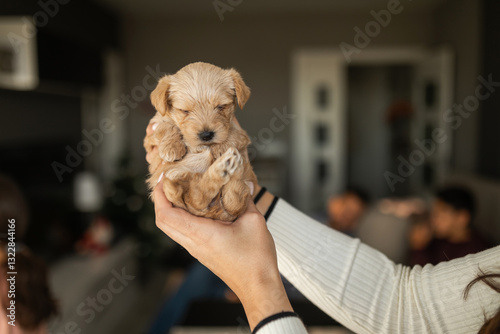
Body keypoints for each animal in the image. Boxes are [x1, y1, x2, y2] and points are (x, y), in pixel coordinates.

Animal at [143, 62, 256, 222]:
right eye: (184, 111)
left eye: (221, 106)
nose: (206, 135)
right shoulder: (151, 133)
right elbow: (165, 126)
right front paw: (171, 147)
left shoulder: (240, 132)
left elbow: (231, 135)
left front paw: (220, 148)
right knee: (196, 196)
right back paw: (225, 167)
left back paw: (228, 166)